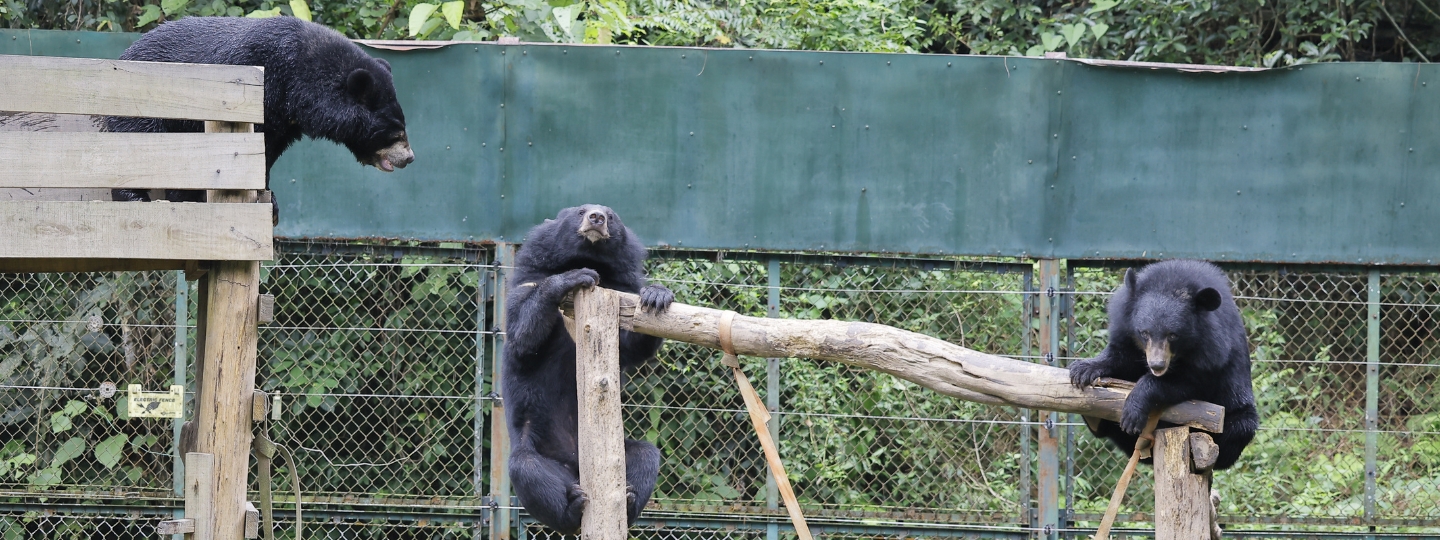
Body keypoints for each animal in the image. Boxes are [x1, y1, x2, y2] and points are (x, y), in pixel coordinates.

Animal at [107, 16, 414, 212]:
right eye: (395, 131)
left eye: (402, 128)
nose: (409, 158)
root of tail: (122, 55)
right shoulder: (259, 79)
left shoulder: (285, 118)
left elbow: (267, 150)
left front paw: (270, 197)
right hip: (142, 98)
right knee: (138, 143)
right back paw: (136, 197)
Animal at [503, 204, 674, 533]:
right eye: (580, 211)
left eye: (612, 215)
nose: (597, 217)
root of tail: (577, 467)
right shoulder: (527, 281)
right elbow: (522, 337)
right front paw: (574, 277)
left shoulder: (620, 293)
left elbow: (630, 344)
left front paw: (657, 294)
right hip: (537, 447)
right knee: (528, 470)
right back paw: (572, 508)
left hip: (623, 454)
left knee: (646, 455)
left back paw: (629, 498)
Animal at [1067, 259, 1258, 471]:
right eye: (1144, 333)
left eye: (1173, 335)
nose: (1157, 365)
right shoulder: (1126, 327)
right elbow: (1120, 355)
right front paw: (1083, 369)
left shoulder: (1214, 353)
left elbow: (1190, 383)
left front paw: (1133, 411)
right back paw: (1094, 418)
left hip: (1237, 416)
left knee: (1239, 428)